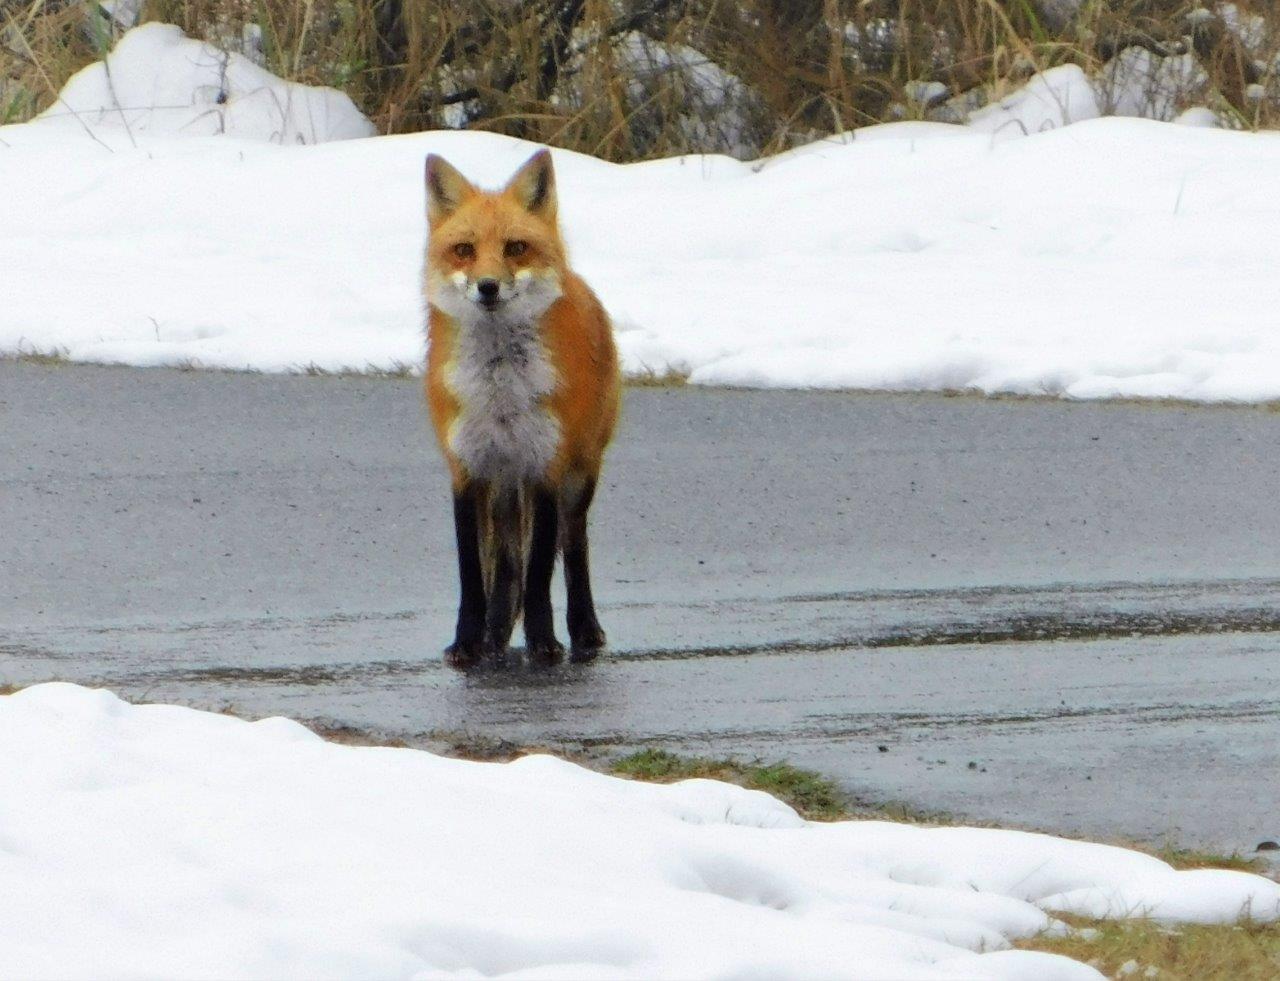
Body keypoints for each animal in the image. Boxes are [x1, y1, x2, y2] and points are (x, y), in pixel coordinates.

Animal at [423, 148, 621, 666]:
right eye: (464, 250)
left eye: (515, 248)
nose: (488, 287)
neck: (501, 395)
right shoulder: (468, 470)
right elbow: (474, 575)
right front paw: (467, 642)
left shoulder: (545, 465)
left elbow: (539, 575)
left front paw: (544, 642)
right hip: (503, 488)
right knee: (508, 563)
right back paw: (494, 636)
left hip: (579, 475)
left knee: (573, 549)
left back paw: (584, 629)